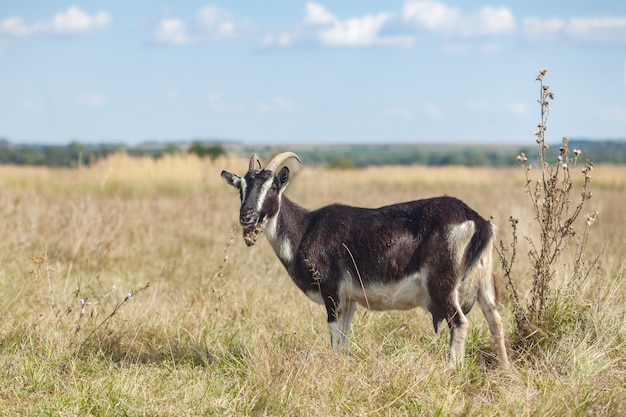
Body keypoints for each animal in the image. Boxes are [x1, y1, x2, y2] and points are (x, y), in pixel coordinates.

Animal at [219, 153, 508, 368]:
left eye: (272, 187)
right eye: (241, 187)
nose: (246, 215)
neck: (305, 229)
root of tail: (477, 221)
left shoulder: (331, 291)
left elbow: (334, 332)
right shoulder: (350, 299)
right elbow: (345, 335)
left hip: (443, 284)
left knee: (459, 322)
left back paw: (451, 369)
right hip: (484, 281)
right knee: (495, 319)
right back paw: (504, 369)